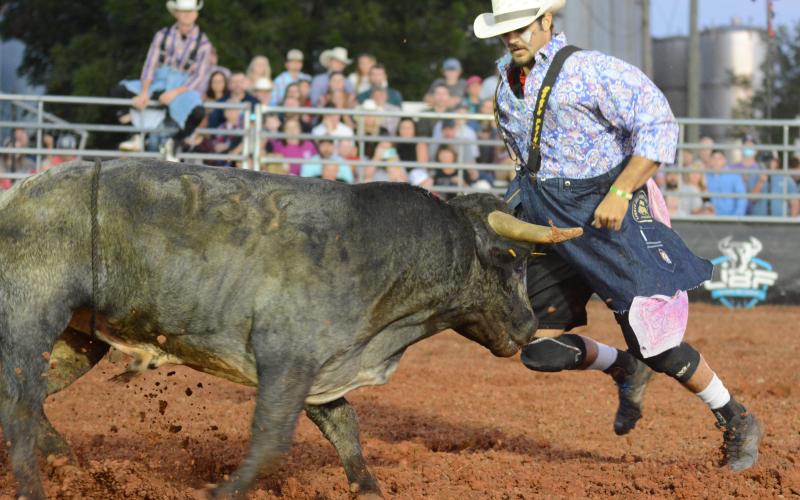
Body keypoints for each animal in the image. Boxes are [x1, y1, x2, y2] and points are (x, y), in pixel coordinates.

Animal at [0, 159, 581, 499]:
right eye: (510, 259)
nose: (530, 328)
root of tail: (18, 194)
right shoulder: (287, 360)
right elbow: (271, 439)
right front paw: (222, 490)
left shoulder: (325, 368)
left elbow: (346, 430)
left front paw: (368, 487)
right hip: (31, 317)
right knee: (19, 404)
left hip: (77, 340)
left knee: (27, 401)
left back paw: (68, 464)